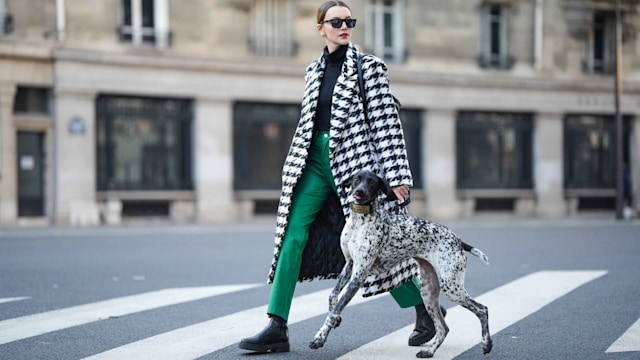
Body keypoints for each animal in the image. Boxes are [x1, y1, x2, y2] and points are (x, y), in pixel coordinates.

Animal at [310, 170, 496, 358]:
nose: (360, 191)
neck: (359, 221)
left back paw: (486, 343)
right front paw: (336, 321)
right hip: (429, 292)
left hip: (451, 287)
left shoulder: (358, 275)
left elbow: (335, 309)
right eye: (357, 179)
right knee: (443, 328)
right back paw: (429, 351)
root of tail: (458, 240)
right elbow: (332, 296)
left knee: (482, 310)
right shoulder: (349, 265)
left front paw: (319, 337)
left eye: (372, 182)